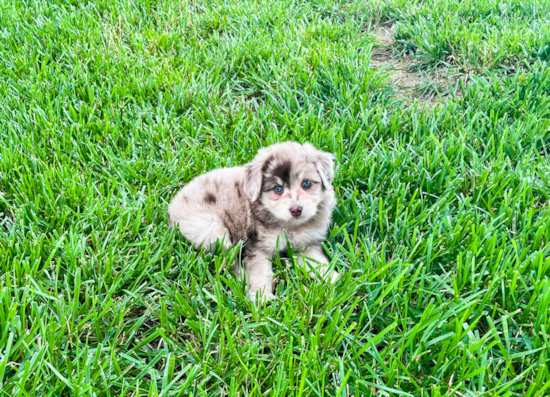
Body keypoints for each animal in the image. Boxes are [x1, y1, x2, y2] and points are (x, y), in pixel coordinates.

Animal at [168, 142, 340, 300]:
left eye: (306, 183)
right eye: (277, 189)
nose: (296, 210)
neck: (290, 226)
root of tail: (173, 207)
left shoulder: (308, 245)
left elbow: (321, 265)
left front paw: (339, 282)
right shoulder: (258, 247)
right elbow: (262, 272)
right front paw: (262, 298)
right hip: (212, 229)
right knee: (229, 260)